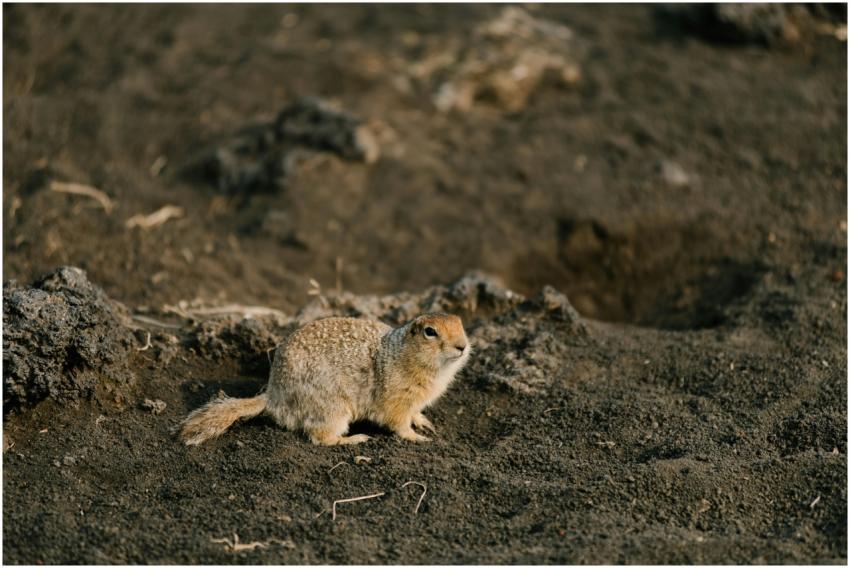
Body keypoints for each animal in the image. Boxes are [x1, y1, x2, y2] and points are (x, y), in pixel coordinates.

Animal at [179, 313, 470, 446]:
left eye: (461, 323)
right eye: (430, 332)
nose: (463, 346)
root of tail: (273, 394)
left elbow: (414, 413)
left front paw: (424, 422)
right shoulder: (397, 397)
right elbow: (398, 423)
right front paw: (417, 437)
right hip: (332, 408)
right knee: (321, 438)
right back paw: (354, 439)